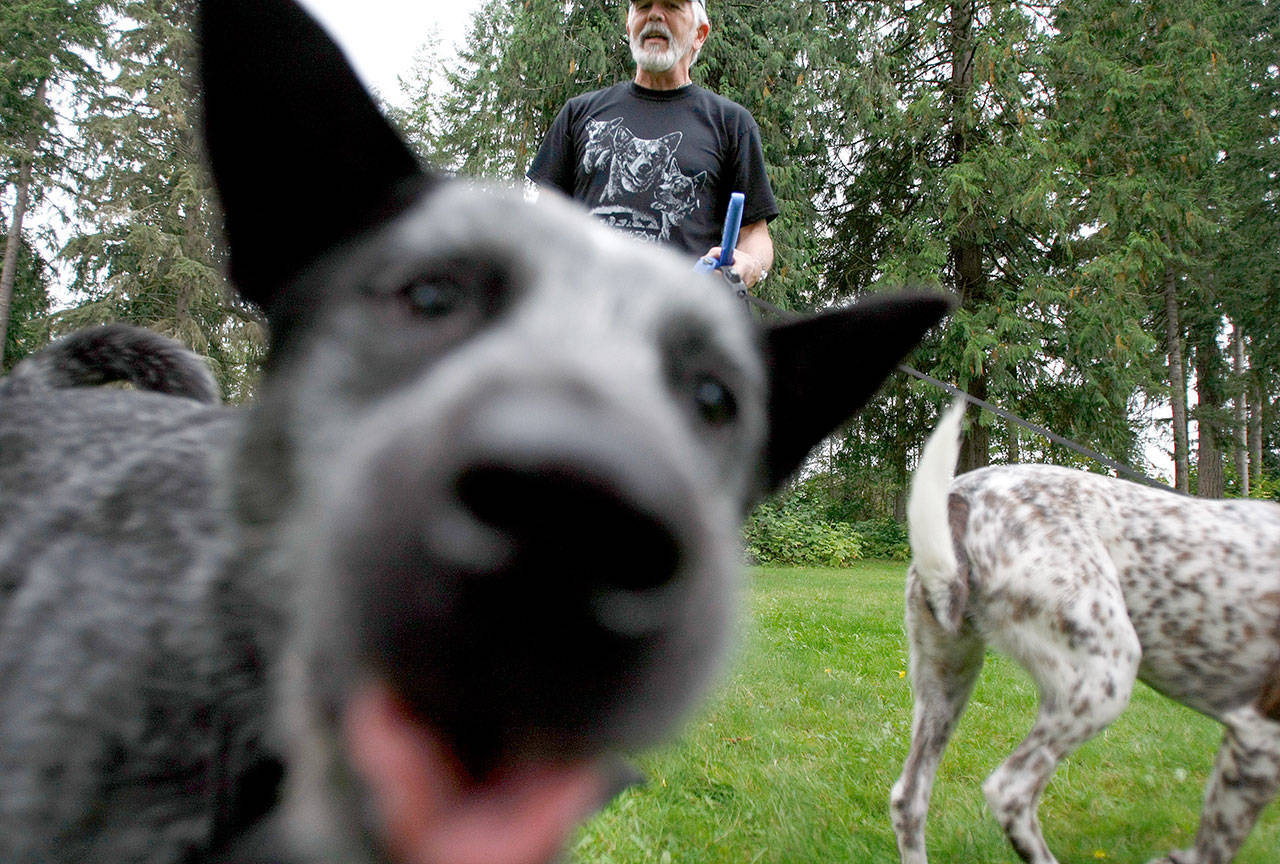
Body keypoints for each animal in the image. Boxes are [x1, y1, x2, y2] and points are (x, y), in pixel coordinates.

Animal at [890, 399, 1280, 864]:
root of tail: (962, 496)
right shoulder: (1258, 735)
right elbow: (1213, 847)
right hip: (1105, 678)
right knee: (1009, 791)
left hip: (947, 682)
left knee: (909, 799)